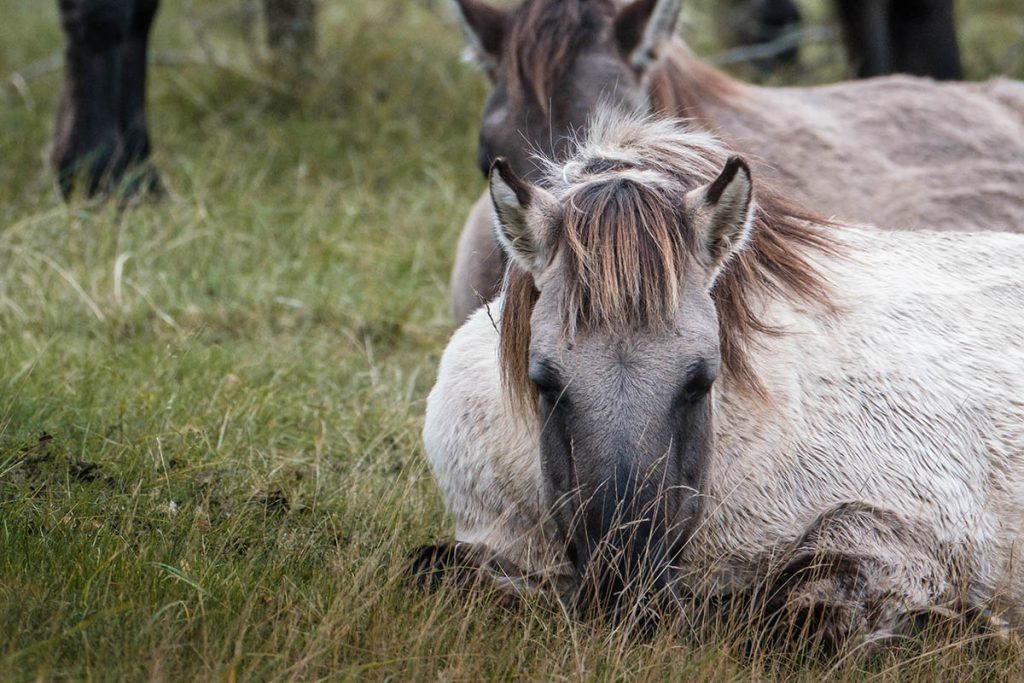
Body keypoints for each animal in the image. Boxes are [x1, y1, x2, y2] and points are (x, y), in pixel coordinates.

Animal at [415, 108, 1024, 647]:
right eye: (544, 381)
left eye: (701, 379)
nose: (627, 592)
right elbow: (432, 568)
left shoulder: (914, 536)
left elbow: (797, 613)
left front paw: (973, 628)